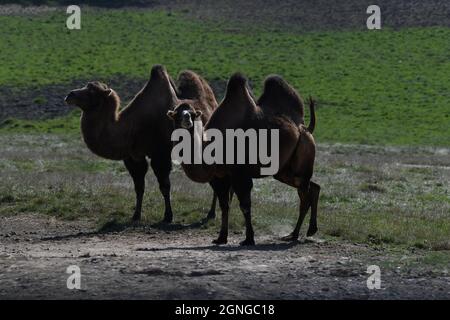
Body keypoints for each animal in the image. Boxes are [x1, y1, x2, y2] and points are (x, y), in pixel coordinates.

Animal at [64, 65, 218, 222]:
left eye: (92, 91)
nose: (70, 95)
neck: (133, 126)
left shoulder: (160, 154)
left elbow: (164, 186)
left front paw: (168, 216)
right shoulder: (133, 156)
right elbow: (139, 187)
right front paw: (136, 215)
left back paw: (211, 213)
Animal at [167, 72, 318, 245]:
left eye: (192, 114)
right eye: (176, 115)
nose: (187, 120)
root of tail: (305, 127)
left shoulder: (240, 173)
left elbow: (245, 206)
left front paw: (248, 239)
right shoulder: (219, 176)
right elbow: (224, 205)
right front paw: (221, 238)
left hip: (303, 153)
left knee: (304, 197)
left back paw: (295, 235)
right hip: (284, 171)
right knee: (313, 187)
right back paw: (308, 230)